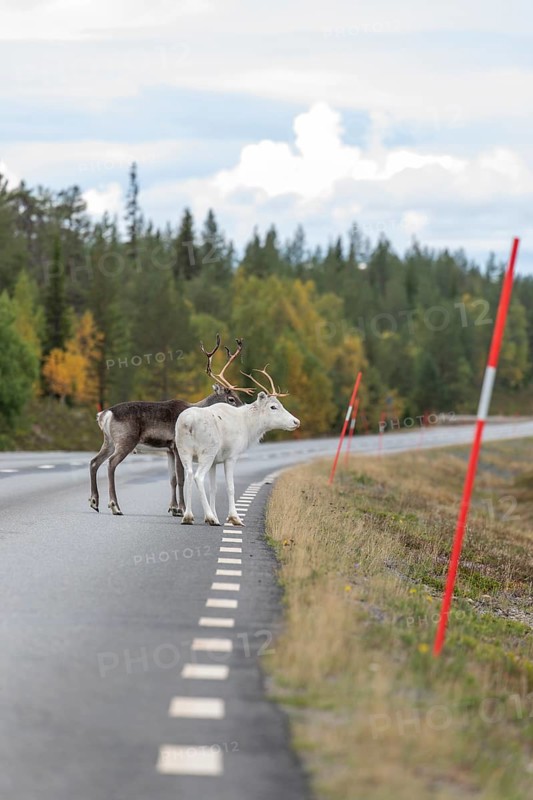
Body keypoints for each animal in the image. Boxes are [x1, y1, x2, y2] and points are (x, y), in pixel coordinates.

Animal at [88, 336, 244, 516]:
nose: (244, 409)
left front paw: (173, 508)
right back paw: (115, 506)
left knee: (94, 462)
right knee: (111, 463)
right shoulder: (177, 446)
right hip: (125, 439)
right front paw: (182, 509)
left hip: (109, 441)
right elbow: (182, 477)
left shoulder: (169, 450)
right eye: (231, 399)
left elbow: (172, 479)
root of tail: (104, 414)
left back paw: (94, 502)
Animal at [175, 347, 300, 526]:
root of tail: (189, 423)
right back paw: (210, 518)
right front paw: (234, 518)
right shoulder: (231, 456)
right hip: (207, 451)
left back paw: (188, 516)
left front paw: (215, 514)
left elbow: (213, 488)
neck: (248, 427)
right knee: (198, 477)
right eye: (273, 407)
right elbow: (230, 487)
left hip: (184, 451)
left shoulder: (215, 461)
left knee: (190, 476)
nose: (296, 421)